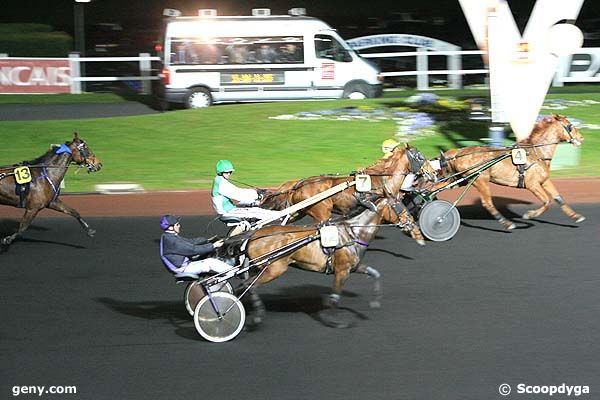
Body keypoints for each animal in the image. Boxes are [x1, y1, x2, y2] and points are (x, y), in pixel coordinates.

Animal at [239, 195, 412, 326]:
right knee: (249, 285)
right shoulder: (342, 271)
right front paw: (335, 321)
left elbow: (375, 273)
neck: (352, 233)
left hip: (260, 268)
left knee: (244, 286)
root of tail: (253, 235)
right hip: (273, 269)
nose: (411, 223)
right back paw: (257, 314)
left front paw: (375, 301)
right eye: (399, 206)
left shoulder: (353, 267)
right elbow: (335, 297)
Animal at [260, 143, 434, 244]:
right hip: (322, 213)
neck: (384, 179)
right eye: (420, 157)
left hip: (299, 212)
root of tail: (299, 184)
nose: (433, 173)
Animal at [440, 114, 584, 230]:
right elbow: (547, 201)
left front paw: (576, 216)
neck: (536, 152)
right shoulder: (532, 185)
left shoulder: (544, 181)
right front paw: (529, 215)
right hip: (481, 180)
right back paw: (507, 223)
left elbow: (558, 198)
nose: (581, 138)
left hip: (462, 180)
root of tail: (458, 152)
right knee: (487, 203)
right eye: (570, 126)